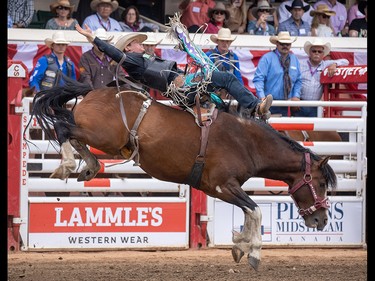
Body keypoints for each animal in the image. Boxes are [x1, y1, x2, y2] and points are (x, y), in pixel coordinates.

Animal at [27, 78, 338, 270]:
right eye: (322, 182)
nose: (322, 220)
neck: (247, 141)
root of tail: (92, 91)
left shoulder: (219, 188)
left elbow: (250, 212)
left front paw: (240, 245)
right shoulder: (223, 185)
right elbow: (256, 210)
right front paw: (253, 253)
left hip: (102, 138)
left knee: (71, 132)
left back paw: (90, 165)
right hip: (101, 135)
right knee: (64, 129)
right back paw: (68, 164)